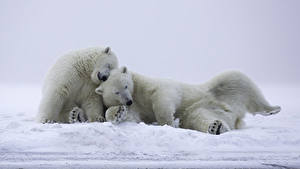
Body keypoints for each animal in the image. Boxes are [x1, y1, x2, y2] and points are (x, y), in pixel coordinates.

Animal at [95, 67, 282, 135]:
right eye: (116, 92)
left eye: (126, 86)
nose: (128, 102)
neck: (137, 94)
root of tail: (234, 114)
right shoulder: (138, 106)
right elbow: (132, 116)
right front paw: (118, 112)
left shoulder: (149, 86)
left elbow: (164, 95)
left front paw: (167, 122)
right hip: (203, 108)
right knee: (199, 117)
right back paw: (216, 127)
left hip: (219, 88)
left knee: (239, 79)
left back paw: (273, 108)